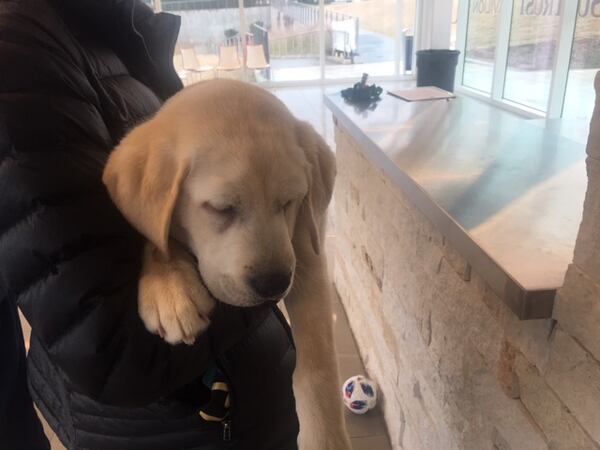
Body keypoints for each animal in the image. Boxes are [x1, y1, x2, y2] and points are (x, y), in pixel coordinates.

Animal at [101, 80, 350, 450]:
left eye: (289, 202)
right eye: (222, 208)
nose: (274, 284)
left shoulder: (307, 249)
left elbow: (318, 363)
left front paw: (326, 436)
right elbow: (158, 237)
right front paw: (169, 289)